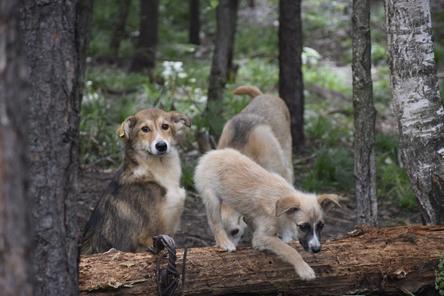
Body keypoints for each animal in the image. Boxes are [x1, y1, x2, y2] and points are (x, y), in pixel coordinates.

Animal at [194, 148, 340, 280]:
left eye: (321, 226)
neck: (281, 211)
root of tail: (212, 153)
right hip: (212, 198)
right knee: (215, 223)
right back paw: (225, 243)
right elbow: (289, 250)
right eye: (303, 226)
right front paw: (304, 269)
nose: (316, 250)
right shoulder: (262, 237)